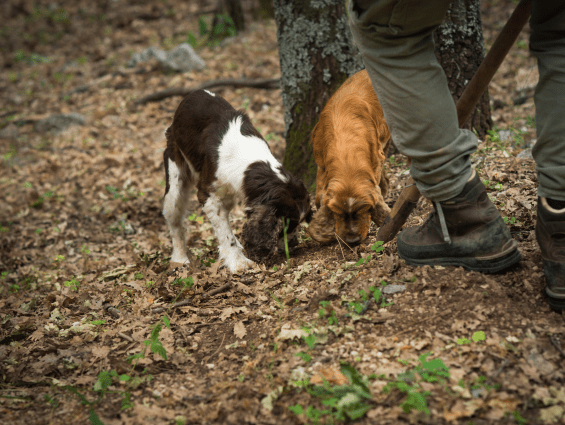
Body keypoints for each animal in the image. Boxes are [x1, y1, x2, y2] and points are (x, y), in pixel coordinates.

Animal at [163, 91, 310, 274]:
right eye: (287, 224)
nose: (294, 245)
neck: (247, 159)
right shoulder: (208, 196)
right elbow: (225, 233)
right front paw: (238, 262)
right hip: (175, 180)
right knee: (175, 220)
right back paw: (179, 259)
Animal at [306, 68, 390, 243]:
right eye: (338, 213)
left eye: (364, 210)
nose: (352, 241)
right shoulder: (321, 164)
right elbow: (319, 195)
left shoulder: (375, 157)